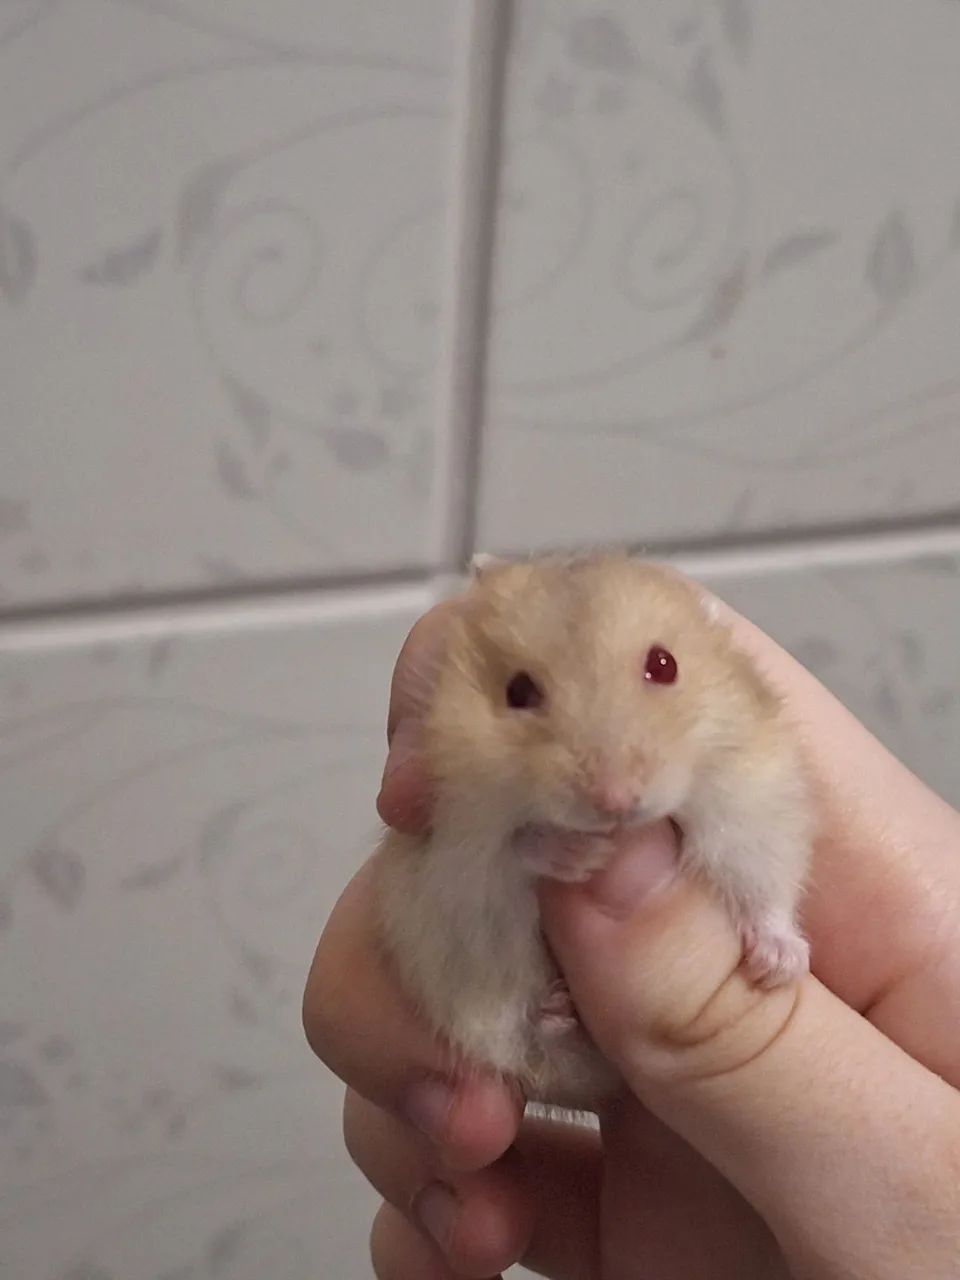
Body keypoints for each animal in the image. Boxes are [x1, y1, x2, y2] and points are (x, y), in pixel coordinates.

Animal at [375, 552, 814, 1109]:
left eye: (664, 664)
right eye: (517, 691)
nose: (615, 802)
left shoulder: (752, 804)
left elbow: (764, 889)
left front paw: (776, 969)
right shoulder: (449, 843)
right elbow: (510, 847)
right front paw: (583, 856)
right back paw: (557, 1008)